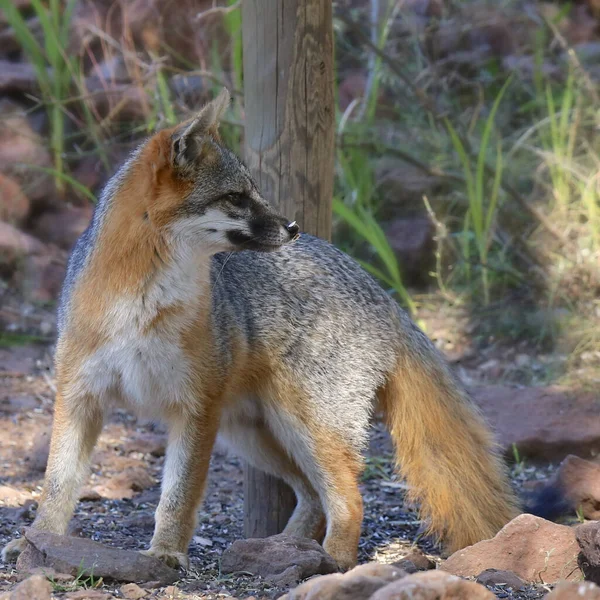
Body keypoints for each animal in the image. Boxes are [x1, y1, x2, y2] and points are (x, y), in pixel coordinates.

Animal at [1, 89, 520, 572]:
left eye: (254, 191)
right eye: (236, 197)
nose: (292, 226)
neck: (141, 304)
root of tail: (378, 288)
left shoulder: (195, 408)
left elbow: (178, 496)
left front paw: (166, 552)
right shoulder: (79, 396)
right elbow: (56, 486)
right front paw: (37, 541)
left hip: (306, 426)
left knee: (349, 498)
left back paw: (332, 563)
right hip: (256, 435)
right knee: (313, 498)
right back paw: (282, 550)